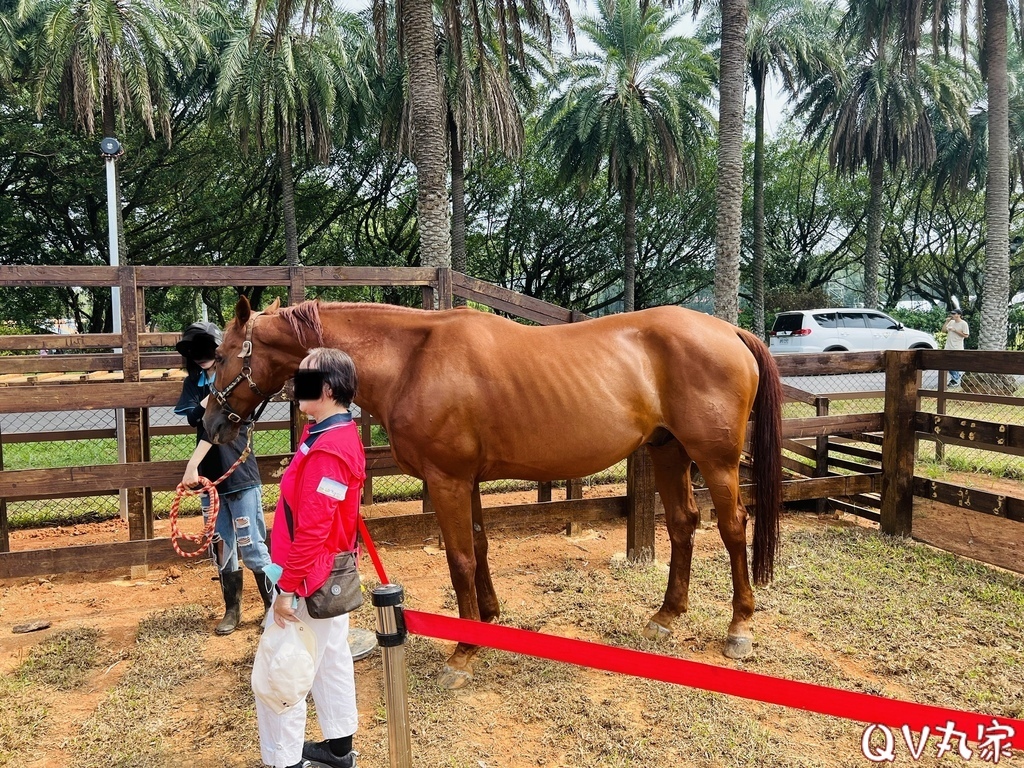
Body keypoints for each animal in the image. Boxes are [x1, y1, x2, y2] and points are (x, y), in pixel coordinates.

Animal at [205, 296, 782, 692]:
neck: (412, 360)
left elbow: (459, 558)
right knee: (684, 523)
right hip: (669, 452)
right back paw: (666, 616)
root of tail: (729, 330)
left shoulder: (447, 480)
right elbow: (479, 547)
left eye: (226, 356)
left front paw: (463, 651)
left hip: (715, 461)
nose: (210, 424)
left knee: (733, 528)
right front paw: (488, 617)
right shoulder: (468, 480)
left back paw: (739, 626)